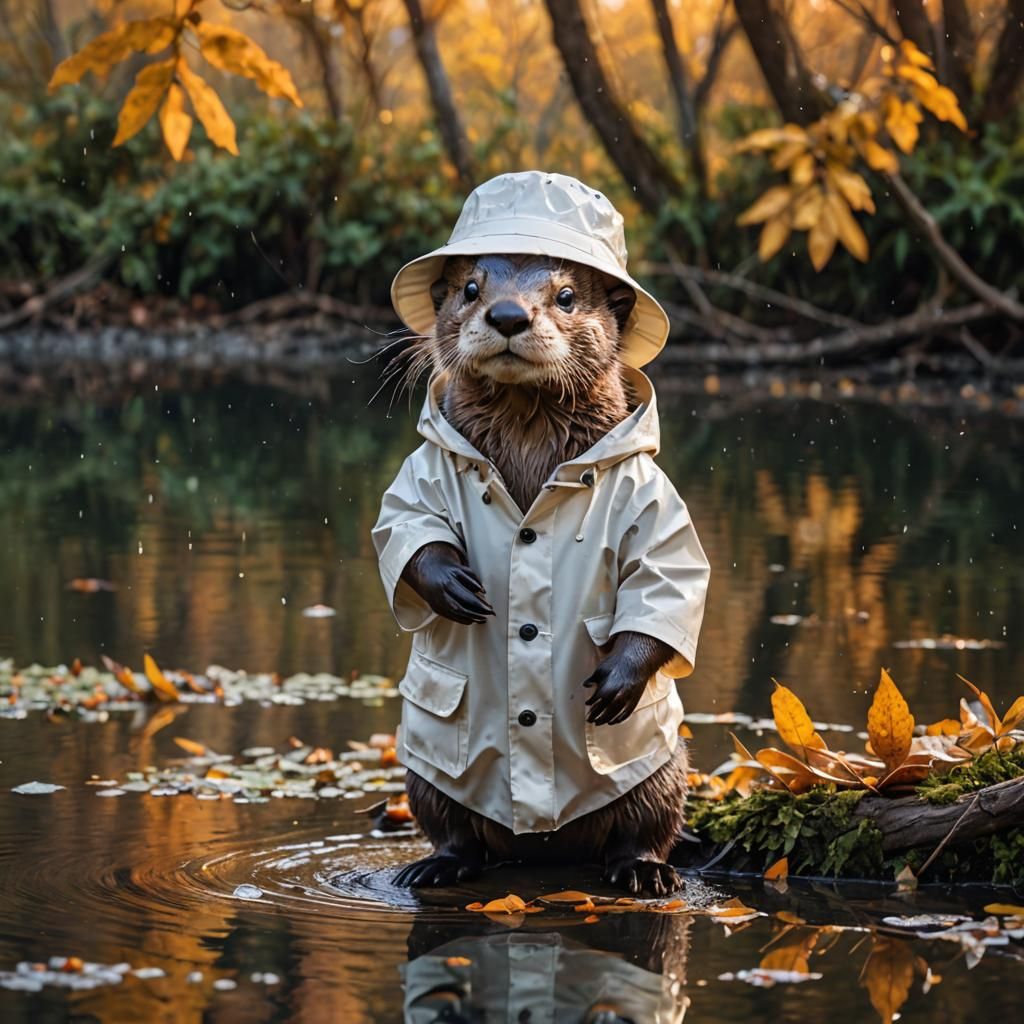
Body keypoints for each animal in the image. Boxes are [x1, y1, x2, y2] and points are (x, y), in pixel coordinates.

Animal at [387, 253, 690, 896]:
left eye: (567, 295)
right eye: (471, 288)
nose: (507, 314)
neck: (529, 451)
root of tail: (541, 849)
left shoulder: (653, 498)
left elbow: (664, 575)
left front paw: (617, 681)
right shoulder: (420, 471)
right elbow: (406, 525)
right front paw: (455, 588)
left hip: (667, 770)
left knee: (648, 825)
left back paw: (645, 872)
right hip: (422, 773)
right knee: (450, 826)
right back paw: (435, 865)